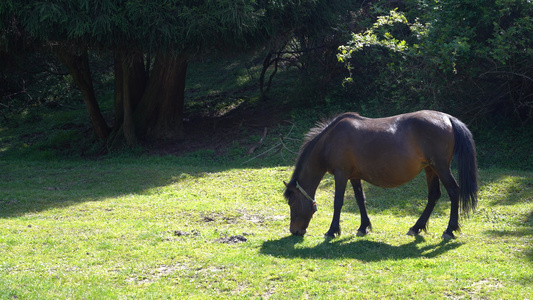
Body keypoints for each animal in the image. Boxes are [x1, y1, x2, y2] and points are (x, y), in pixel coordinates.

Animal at [282, 110, 478, 239]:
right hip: (431, 169)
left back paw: (449, 230)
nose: (295, 231)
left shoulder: (341, 174)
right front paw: (363, 227)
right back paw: (416, 227)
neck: (330, 140)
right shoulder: (354, 176)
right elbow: (360, 200)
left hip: (441, 168)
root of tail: (448, 118)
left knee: (453, 191)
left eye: (292, 201)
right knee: (434, 196)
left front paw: (332, 231)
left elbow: (338, 202)